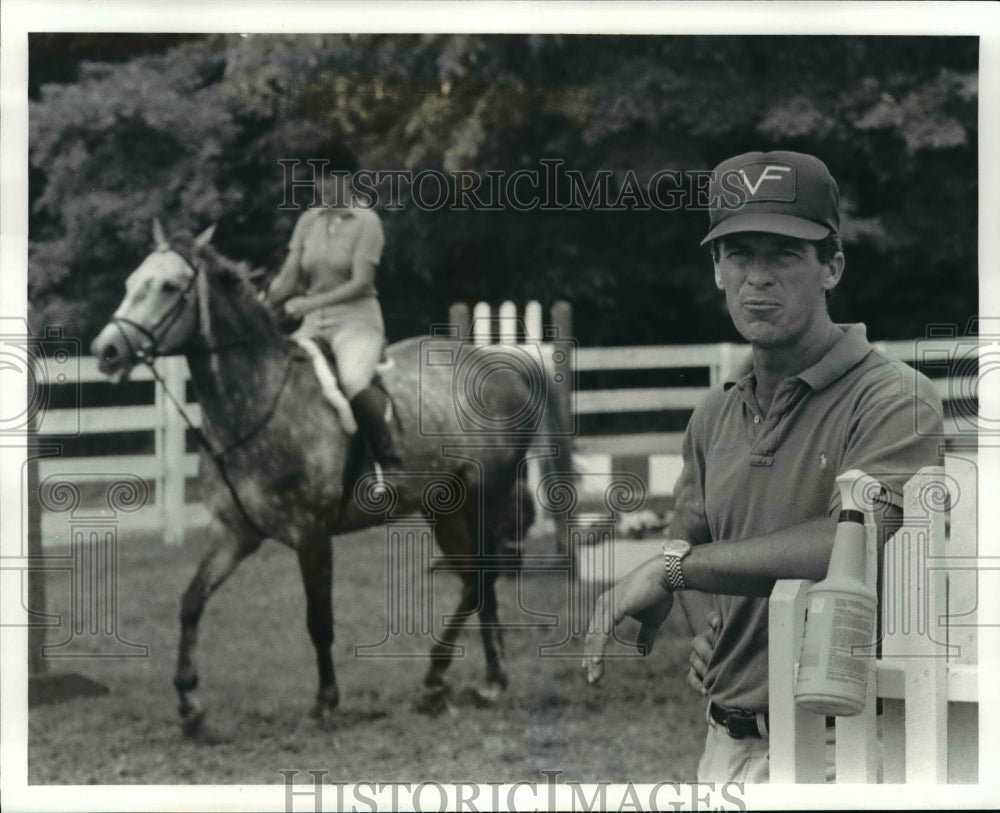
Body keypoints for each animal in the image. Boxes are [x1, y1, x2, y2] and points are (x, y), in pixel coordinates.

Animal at [92, 224, 572, 736]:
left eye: (168, 287)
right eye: (131, 282)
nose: (106, 351)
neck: (258, 403)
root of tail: (496, 364)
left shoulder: (312, 535)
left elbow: (319, 619)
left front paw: (325, 702)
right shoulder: (235, 533)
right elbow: (190, 603)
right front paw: (189, 705)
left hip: (482, 498)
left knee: (482, 577)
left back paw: (447, 679)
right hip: (443, 509)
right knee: (474, 580)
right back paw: (474, 681)